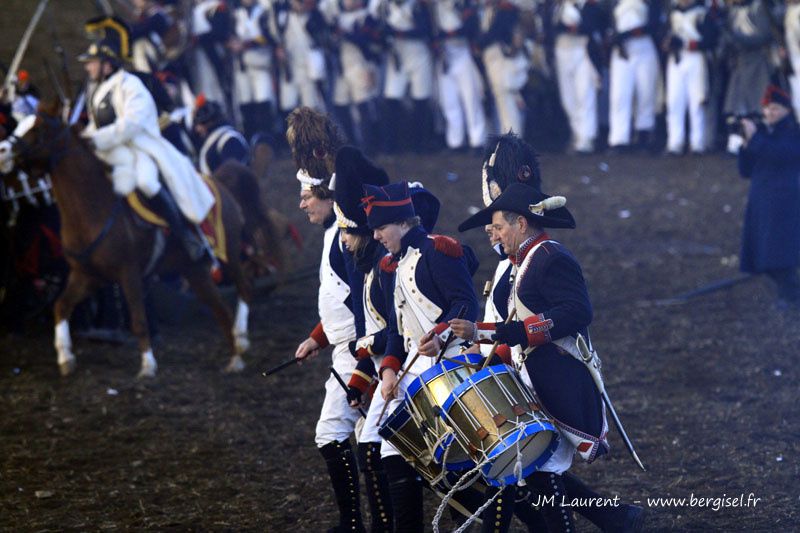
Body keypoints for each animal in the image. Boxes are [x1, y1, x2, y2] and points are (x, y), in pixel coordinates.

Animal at [0, 103, 252, 378]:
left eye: (39, 128)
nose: (3, 152)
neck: (92, 208)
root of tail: (220, 185)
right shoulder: (86, 275)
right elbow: (61, 306)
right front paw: (65, 356)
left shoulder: (128, 273)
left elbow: (138, 321)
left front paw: (147, 366)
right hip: (193, 270)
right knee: (220, 309)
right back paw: (235, 357)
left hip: (228, 255)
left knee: (243, 289)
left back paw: (241, 337)